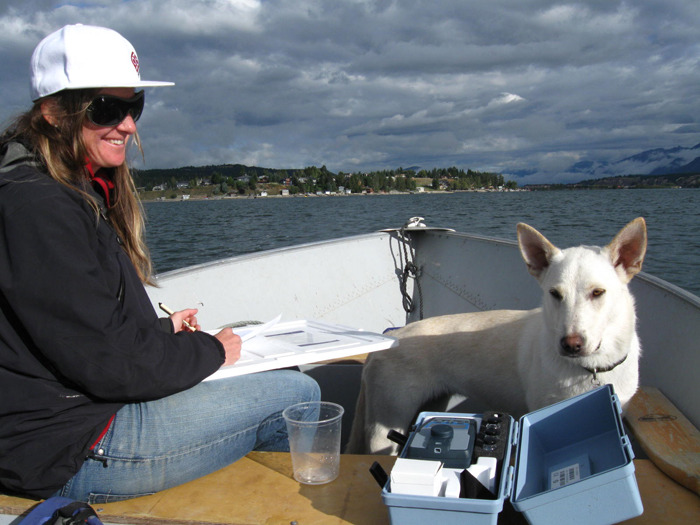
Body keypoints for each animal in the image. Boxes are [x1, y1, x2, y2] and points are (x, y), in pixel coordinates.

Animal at [348, 217, 648, 454]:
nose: (570, 345)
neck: (588, 369)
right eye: (554, 294)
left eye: (598, 292)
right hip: (386, 424)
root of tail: (385, 345)